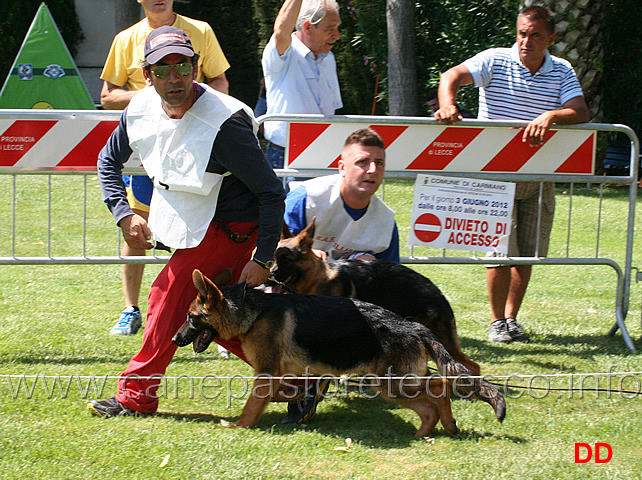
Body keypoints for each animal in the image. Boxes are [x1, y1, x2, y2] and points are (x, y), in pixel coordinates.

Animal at [172, 272, 502, 436]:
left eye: (190, 317)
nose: (175, 338)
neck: (250, 312)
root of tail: (414, 327)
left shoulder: (266, 372)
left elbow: (254, 404)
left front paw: (240, 426)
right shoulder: (286, 372)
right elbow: (286, 392)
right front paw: (298, 402)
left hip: (393, 384)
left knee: (440, 386)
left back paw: (444, 422)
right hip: (394, 387)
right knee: (432, 399)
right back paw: (431, 430)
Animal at [270, 220, 480, 376]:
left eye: (286, 260)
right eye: (274, 258)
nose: (270, 276)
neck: (318, 277)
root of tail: (439, 295)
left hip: (441, 339)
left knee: (471, 365)